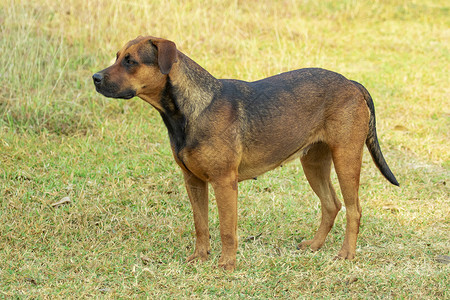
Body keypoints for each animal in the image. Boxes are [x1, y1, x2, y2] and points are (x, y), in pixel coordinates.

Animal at [93, 35, 400, 272]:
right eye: (117, 57)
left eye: (130, 61)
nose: (94, 78)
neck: (189, 110)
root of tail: (352, 83)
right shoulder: (193, 181)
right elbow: (200, 224)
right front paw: (200, 258)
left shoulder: (224, 183)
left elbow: (227, 230)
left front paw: (227, 265)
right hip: (313, 162)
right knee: (331, 205)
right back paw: (314, 245)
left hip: (346, 158)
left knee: (353, 209)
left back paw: (346, 254)